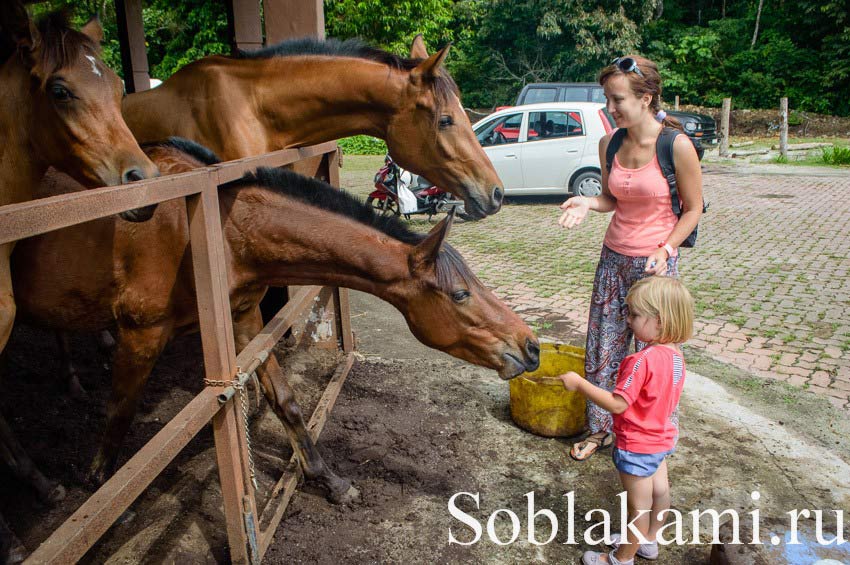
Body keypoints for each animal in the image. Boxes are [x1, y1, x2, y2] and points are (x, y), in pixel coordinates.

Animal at [11, 141, 536, 502]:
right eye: (460, 293)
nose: (530, 346)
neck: (216, 233)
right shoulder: (141, 334)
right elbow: (119, 413)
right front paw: (97, 483)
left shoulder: (244, 322)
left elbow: (288, 402)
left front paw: (329, 480)